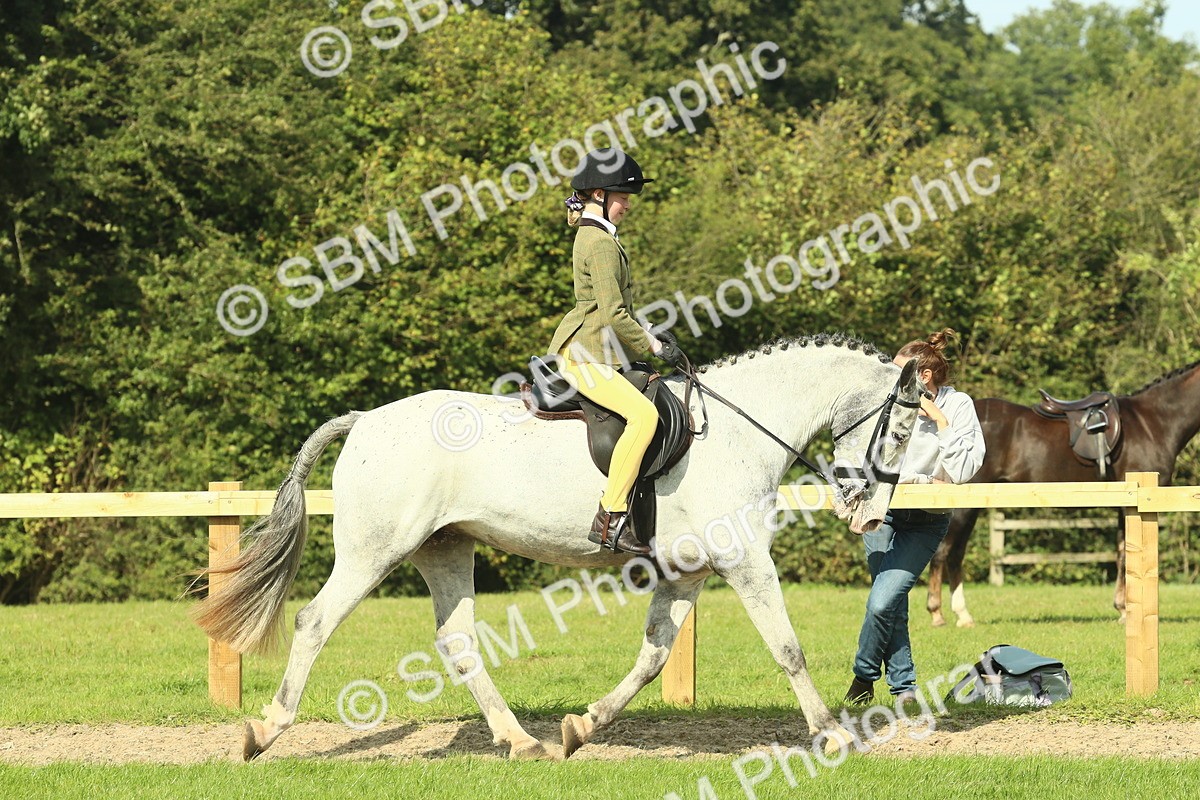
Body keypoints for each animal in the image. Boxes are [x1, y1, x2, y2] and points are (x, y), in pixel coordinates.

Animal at [193, 334, 925, 761]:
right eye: (900, 430)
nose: (870, 515)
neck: (739, 429)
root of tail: (366, 419)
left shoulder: (686, 572)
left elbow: (654, 658)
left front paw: (583, 726)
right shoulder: (744, 561)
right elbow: (787, 647)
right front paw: (832, 732)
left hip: (445, 548)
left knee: (458, 640)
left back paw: (521, 740)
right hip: (376, 550)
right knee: (315, 621)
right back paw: (265, 731)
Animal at [926, 359, 1200, 628]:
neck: (1154, 421)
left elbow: (1122, 552)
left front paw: (1122, 608)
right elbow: (1127, 554)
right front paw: (1126, 611)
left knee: (956, 553)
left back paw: (963, 615)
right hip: (963, 506)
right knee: (943, 551)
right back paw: (937, 613)